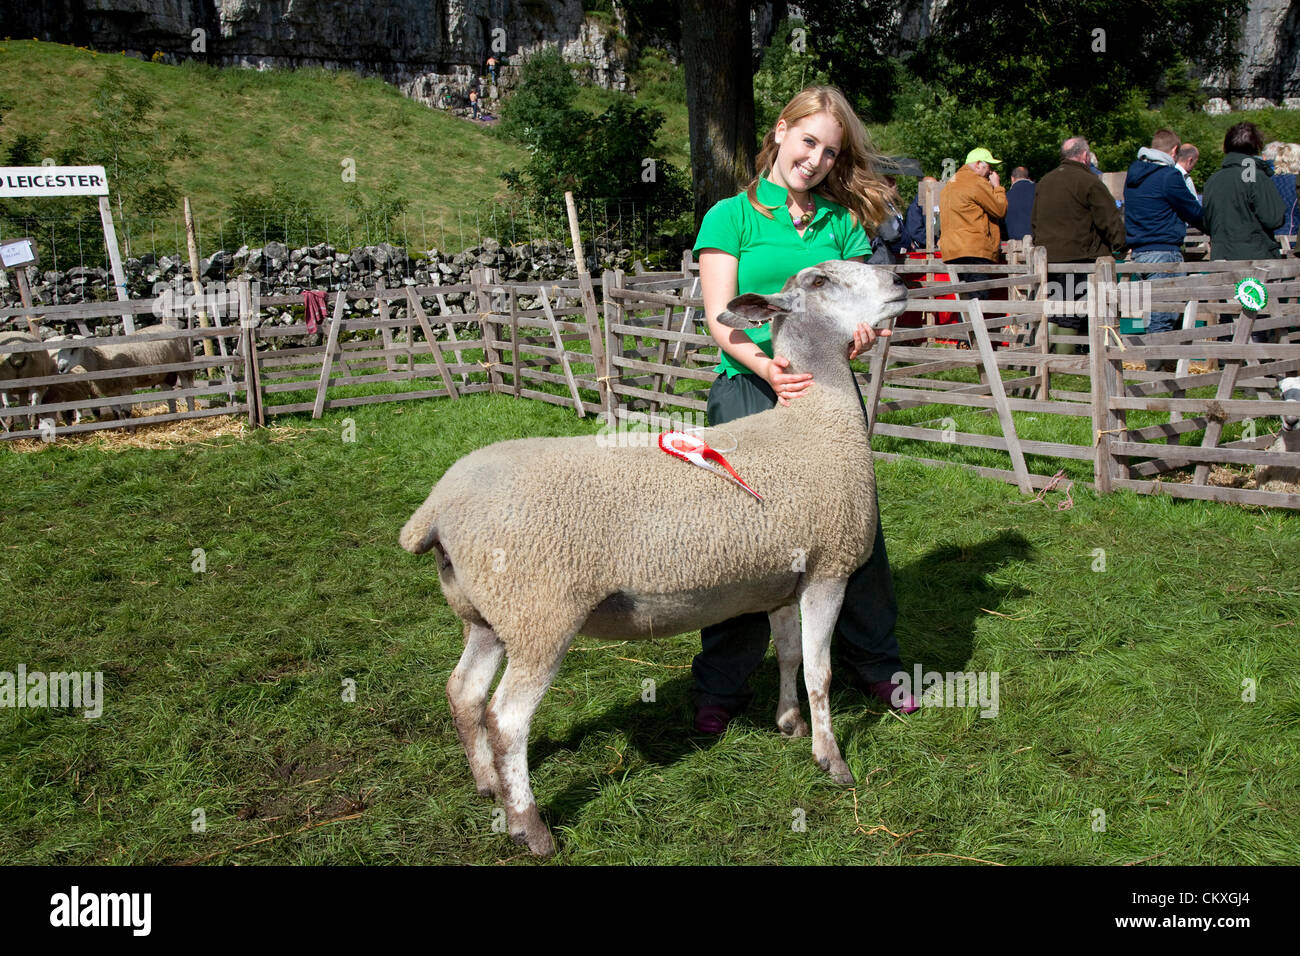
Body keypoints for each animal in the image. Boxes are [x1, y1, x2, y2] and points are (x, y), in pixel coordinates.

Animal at [400, 257, 909, 858]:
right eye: (821, 282)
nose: (900, 280)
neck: (814, 421)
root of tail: (439, 505)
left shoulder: (785, 579)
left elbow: (788, 657)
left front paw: (789, 723)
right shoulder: (829, 570)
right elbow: (819, 672)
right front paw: (831, 760)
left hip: (491, 614)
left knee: (464, 693)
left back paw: (486, 785)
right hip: (543, 615)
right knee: (505, 720)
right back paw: (531, 826)